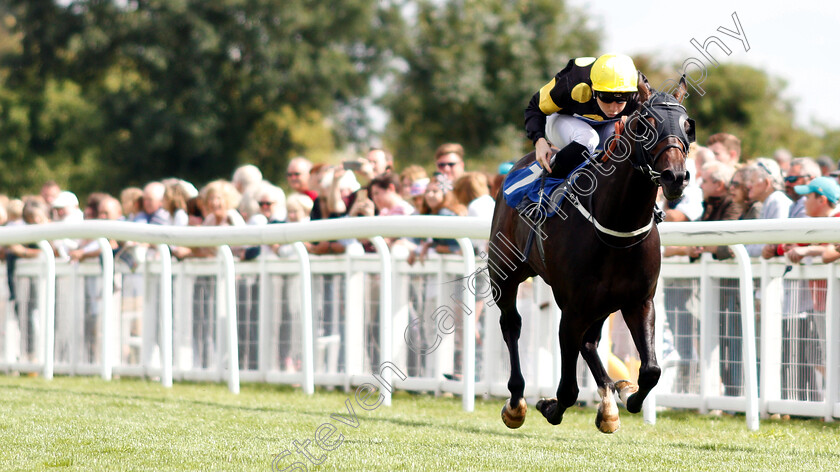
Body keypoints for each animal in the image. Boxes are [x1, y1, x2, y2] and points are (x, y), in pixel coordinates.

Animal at [488, 76, 692, 432]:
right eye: (646, 124)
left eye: (687, 125)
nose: (675, 176)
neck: (617, 226)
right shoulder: (571, 309)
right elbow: (568, 389)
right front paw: (549, 406)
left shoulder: (639, 301)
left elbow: (651, 370)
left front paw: (628, 395)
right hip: (504, 272)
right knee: (512, 325)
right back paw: (516, 403)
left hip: (601, 302)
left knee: (590, 342)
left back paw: (611, 397)